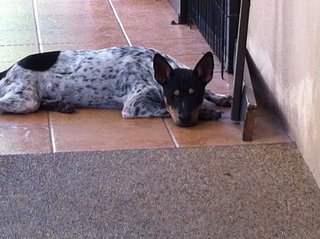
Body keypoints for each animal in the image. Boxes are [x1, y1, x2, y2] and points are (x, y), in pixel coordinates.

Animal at [0, 45, 231, 127]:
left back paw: (59, 104)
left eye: (194, 94)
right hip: (25, 100)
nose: (184, 121)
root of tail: (9, 68)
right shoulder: (134, 105)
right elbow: (165, 109)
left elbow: (209, 92)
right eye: (173, 95)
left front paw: (220, 98)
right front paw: (207, 112)